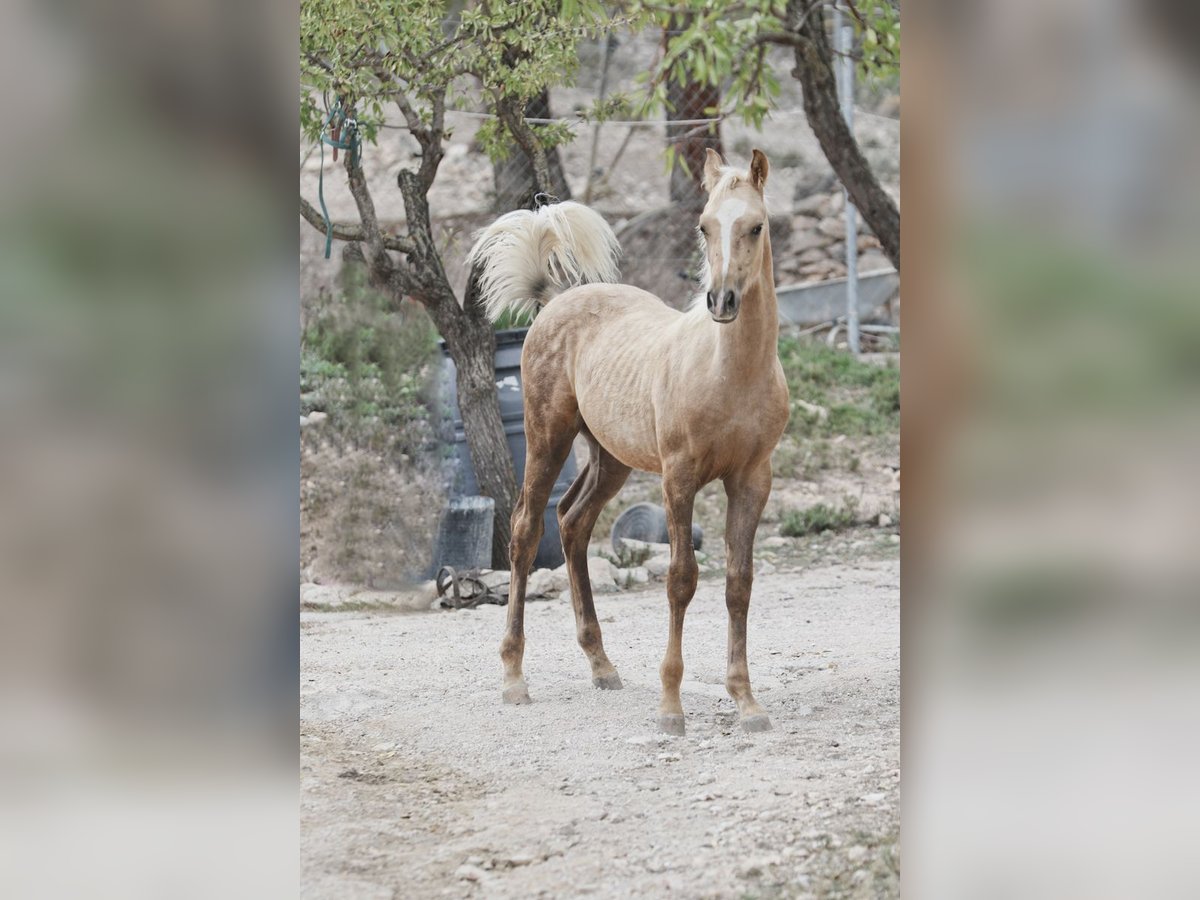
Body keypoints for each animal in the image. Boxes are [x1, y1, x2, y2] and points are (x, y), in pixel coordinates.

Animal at [472, 148, 792, 734]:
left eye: (756, 226)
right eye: (704, 225)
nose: (721, 301)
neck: (728, 372)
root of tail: (554, 300)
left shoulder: (752, 479)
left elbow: (739, 583)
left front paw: (746, 701)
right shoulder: (678, 478)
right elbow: (682, 579)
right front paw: (670, 708)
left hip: (610, 458)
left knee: (572, 523)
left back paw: (601, 664)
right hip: (547, 437)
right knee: (527, 531)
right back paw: (513, 677)